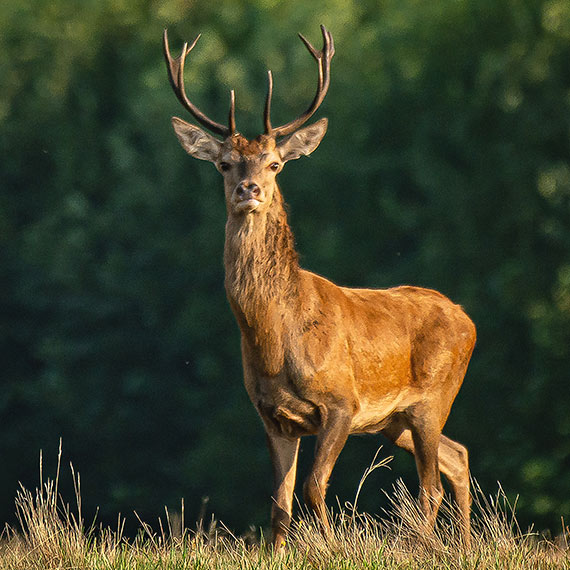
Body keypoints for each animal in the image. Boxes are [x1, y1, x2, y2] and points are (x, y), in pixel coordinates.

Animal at [162, 25, 472, 544]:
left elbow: (312, 486)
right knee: (458, 457)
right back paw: (463, 545)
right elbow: (279, 504)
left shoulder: (341, 402)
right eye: (224, 164)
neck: (275, 337)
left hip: (433, 396)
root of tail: (467, 319)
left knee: (431, 485)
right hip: (393, 420)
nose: (250, 189)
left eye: (274, 164)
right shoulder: (272, 416)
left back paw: (428, 547)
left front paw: (330, 547)